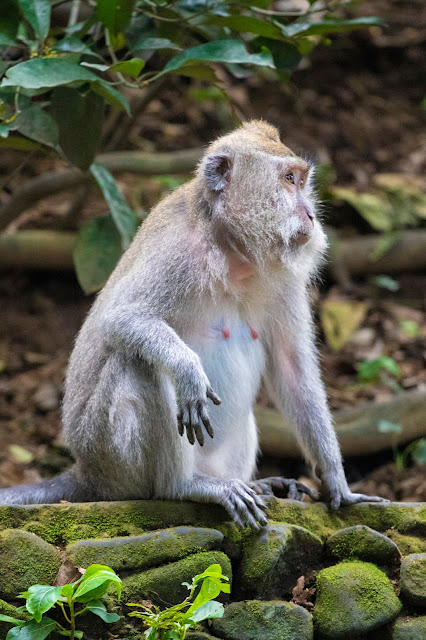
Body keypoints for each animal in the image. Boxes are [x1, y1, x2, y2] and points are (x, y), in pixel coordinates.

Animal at [0, 121, 386, 528]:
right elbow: (119, 317)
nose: (311, 216)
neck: (233, 253)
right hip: (111, 457)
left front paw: (336, 480)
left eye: (301, 180)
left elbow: (292, 369)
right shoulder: (179, 255)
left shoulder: (285, 282)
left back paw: (259, 484)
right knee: (136, 363)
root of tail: (86, 470)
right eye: (288, 180)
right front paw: (188, 371)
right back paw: (184, 486)